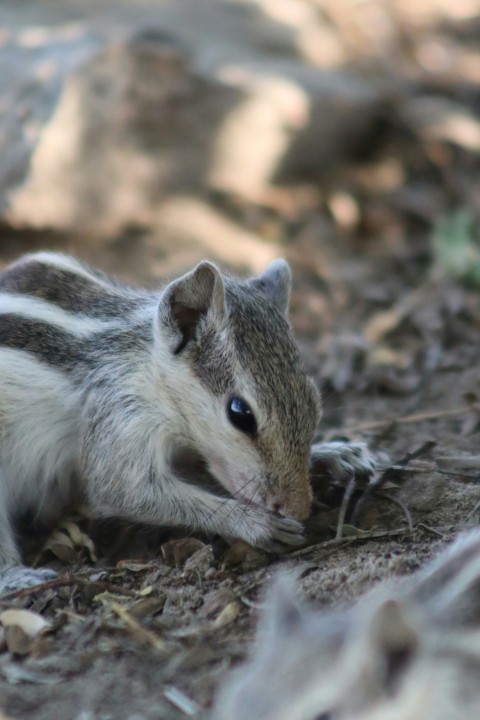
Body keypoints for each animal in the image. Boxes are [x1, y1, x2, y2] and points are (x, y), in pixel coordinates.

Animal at [0, 253, 376, 592]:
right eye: (240, 413)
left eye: (314, 401)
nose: (298, 509)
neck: (148, 369)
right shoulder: (121, 416)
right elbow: (124, 490)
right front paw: (255, 523)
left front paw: (335, 453)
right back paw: (16, 578)